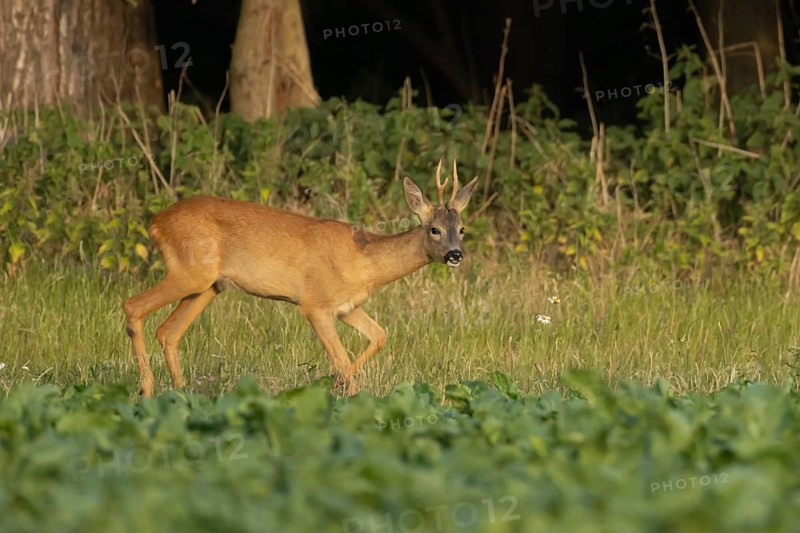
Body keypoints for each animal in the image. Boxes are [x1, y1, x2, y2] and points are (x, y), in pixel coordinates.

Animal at [123, 159, 478, 397]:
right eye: (434, 229)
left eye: (461, 229)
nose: (455, 255)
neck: (365, 260)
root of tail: (156, 221)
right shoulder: (315, 304)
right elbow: (343, 362)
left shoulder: (347, 306)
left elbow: (380, 336)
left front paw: (335, 386)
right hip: (190, 272)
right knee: (133, 306)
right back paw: (146, 391)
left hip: (210, 285)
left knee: (168, 331)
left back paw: (182, 395)